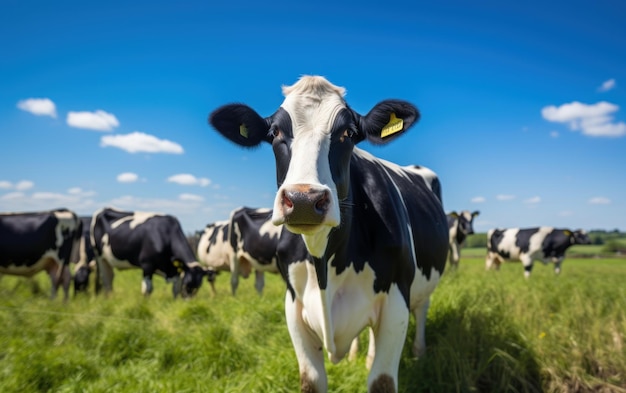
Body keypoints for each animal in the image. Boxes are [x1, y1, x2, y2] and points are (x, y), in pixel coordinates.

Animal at [210, 75, 448, 390]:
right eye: (274, 132)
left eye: (348, 132)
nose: (303, 200)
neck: (324, 266)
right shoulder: (294, 307)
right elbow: (311, 380)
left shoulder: (396, 303)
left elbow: (382, 380)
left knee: (422, 309)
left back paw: (419, 353)